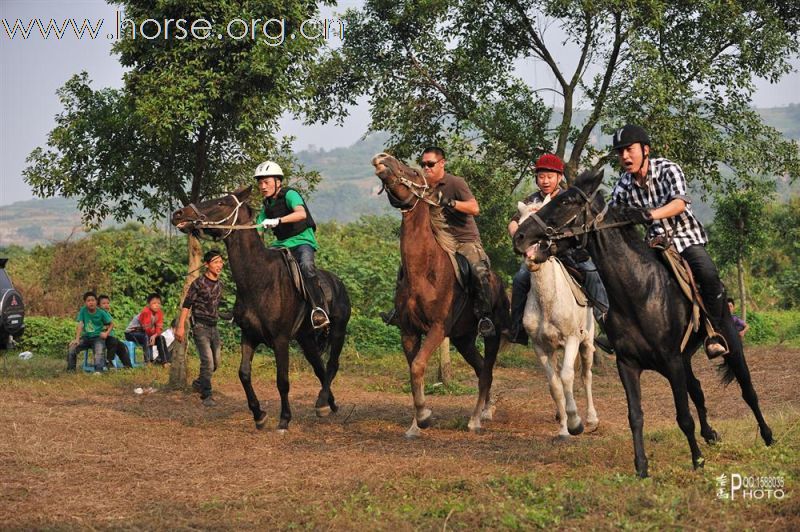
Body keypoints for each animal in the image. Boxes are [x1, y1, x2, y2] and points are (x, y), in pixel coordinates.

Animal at [172, 187, 350, 432]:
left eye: (222, 202)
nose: (179, 214)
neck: (259, 279)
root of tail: (338, 283)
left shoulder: (280, 340)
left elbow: (282, 380)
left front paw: (284, 419)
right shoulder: (249, 336)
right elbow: (244, 374)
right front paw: (259, 415)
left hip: (338, 331)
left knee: (332, 364)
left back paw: (323, 402)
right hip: (305, 338)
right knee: (319, 367)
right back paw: (326, 404)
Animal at [372, 153, 510, 436]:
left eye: (414, 172)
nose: (383, 158)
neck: (425, 270)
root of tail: (500, 284)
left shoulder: (437, 328)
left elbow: (418, 366)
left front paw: (424, 417)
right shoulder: (409, 331)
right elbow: (415, 370)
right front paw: (416, 422)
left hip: (490, 335)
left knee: (486, 373)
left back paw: (475, 420)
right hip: (463, 339)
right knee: (482, 369)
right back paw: (484, 411)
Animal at [516, 201, 596, 440]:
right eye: (519, 222)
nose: (531, 255)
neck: (549, 301)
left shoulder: (571, 340)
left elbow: (568, 377)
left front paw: (575, 422)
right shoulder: (541, 347)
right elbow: (555, 385)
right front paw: (563, 429)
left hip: (586, 342)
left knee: (585, 376)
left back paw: (591, 420)